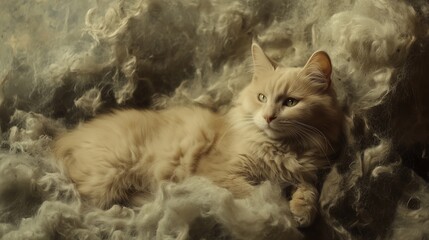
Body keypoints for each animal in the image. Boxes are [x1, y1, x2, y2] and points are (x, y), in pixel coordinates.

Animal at [53, 43, 342, 227]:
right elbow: (256, 193)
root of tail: (65, 140)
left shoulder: (305, 172)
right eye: (262, 98)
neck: (279, 148)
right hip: (106, 177)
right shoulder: (219, 173)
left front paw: (302, 211)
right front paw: (280, 210)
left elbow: (309, 190)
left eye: (291, 102)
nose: (268, 117)